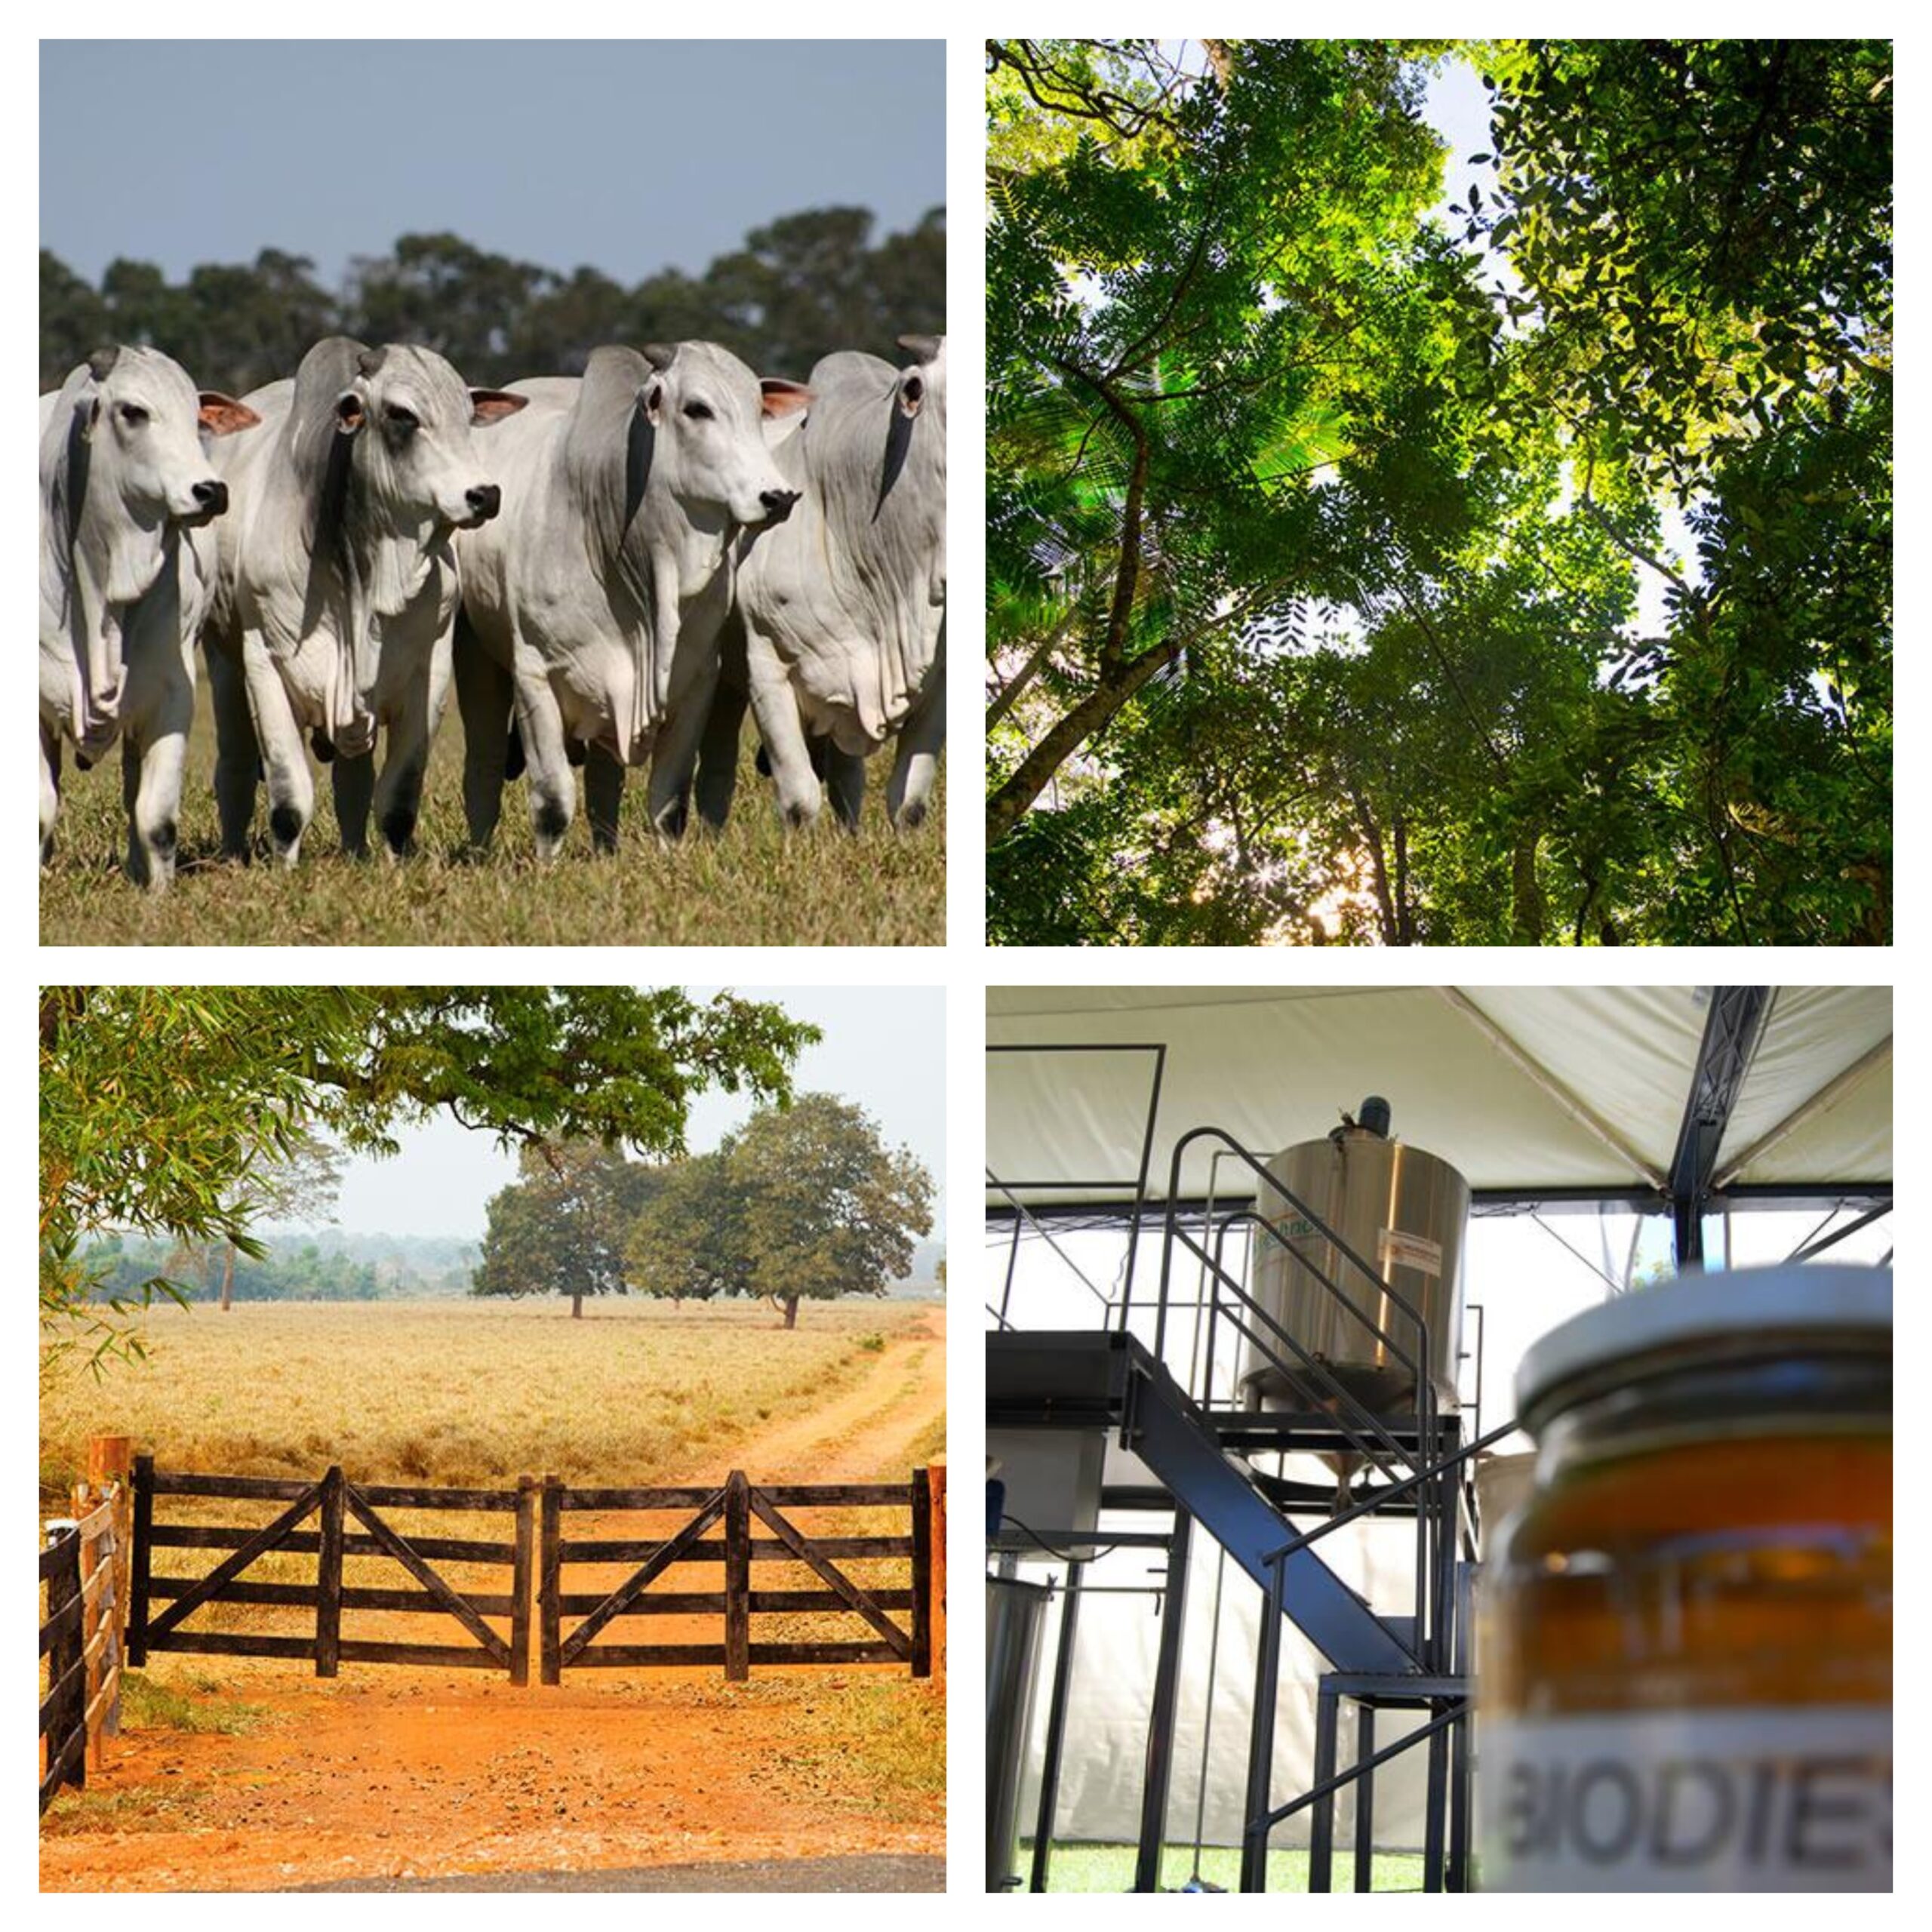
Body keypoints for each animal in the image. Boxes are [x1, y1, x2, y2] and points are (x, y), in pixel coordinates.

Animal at [40, 346, 260, 884]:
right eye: (133, 412)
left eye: (196, 417)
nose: (212, 491)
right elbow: (39, 810)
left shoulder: (170, 693)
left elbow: (155, 816)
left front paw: (158, 892)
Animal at [202, 340, 529, 861]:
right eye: (402, 414)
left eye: (467, 415)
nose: (485, 494)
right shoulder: (265, 665)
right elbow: (289, 800)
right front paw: (285, 868)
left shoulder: (428, 673)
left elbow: (396, 799)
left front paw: (393, 865)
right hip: (224, 667)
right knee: (232, 770)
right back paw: (233, 854)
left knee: (352, 780)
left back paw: (355, 851)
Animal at [450, 342, 808, 854]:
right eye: (697, 409)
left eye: (758, 408)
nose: (779, 497)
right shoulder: (535, 675)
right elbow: (553, 801)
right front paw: (546, 865)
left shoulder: (697, 680)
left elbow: (669, 801)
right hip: (477, 661)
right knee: (482, 768)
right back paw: (480, 852)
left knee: (604, 778)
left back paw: (605, 849)